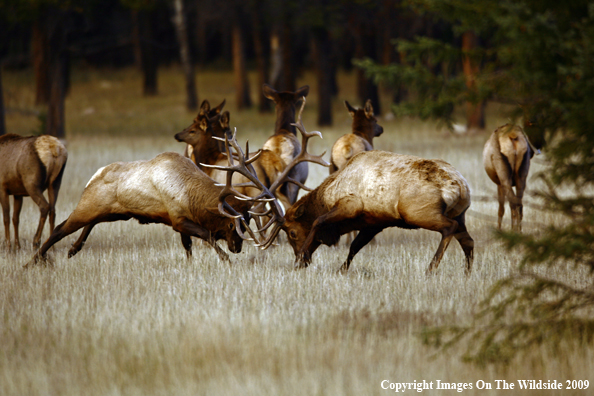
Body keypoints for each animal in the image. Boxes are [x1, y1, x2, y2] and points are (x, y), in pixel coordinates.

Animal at [24, 150, 262, 268]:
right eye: (231, 224)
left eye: (248, 222)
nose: (237, 247)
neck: (190, 196)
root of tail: (93, 176)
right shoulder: (178, 220)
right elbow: (207, 236)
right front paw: (226, 259)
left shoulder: (178, 222)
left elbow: (188, 247)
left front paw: (191, 265)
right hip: (88, 205)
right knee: (60, 228)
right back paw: (32, 261)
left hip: (113, 213)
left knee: (90, 222)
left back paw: (73, 248)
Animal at [216, 100, 472, 276]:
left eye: (292, 232)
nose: (302, 260)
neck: (327, 195)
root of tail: (460, 188)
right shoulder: (374, 222)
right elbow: (356, 246)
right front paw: (341, 269)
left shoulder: (352, 205)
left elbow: (319, 222)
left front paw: (302, 258)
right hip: (460, 214)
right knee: (467, 240)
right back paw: (468, 272)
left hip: (419, 212)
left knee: (448, 229)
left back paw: (431, 268)